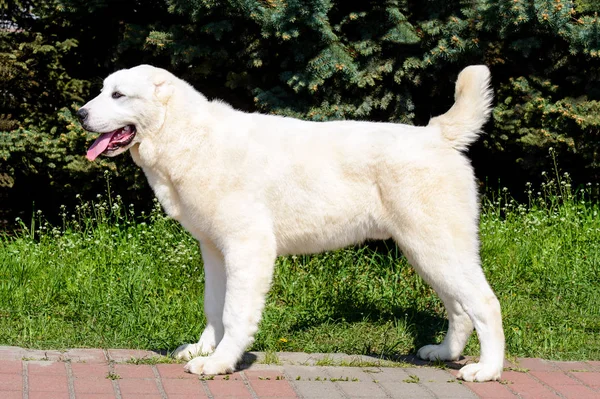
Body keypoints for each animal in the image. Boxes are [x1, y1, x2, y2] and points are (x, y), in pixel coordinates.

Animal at [77, 64, 504, 382]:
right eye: (102, 91)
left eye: (118, 95)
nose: (79, 114)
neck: (186, 135)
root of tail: (437, 135)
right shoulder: (214, 249)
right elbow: (214, 306)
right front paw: (204, 348)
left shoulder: (247, 245)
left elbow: (234, 312)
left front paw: (219, 362)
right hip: (424, 249)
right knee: (460, 307)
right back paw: (444, 353)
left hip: (436, 244)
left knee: (485, 303)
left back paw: (487, 370)